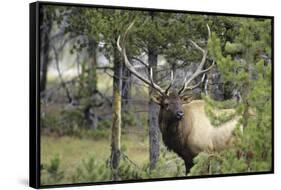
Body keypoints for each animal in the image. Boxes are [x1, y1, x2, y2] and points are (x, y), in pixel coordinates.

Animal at [116, 21, 241, 174]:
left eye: (181, 103)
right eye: (166, 104)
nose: (180, 114)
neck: (182, 139)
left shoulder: (205, 153)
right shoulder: (187, 158)